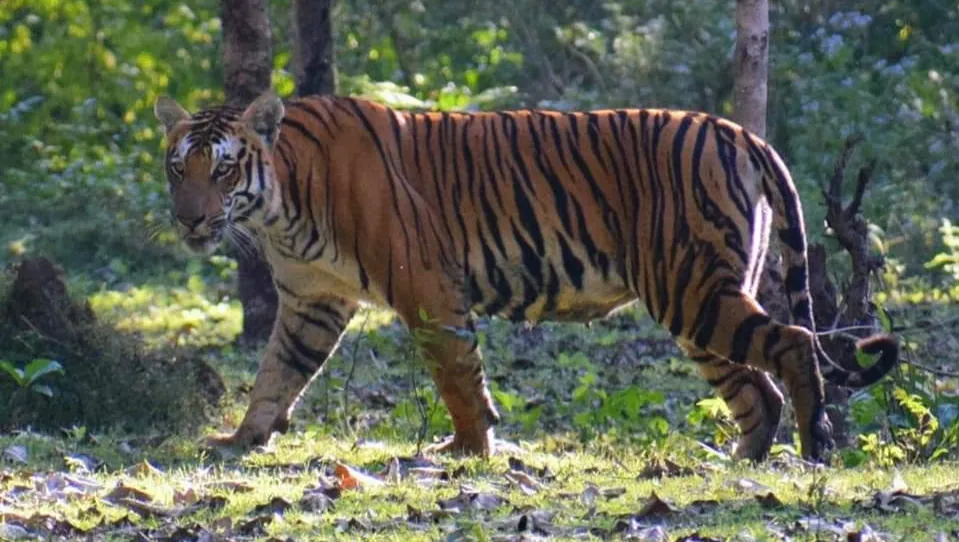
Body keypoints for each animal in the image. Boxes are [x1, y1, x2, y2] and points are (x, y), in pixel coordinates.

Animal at [153, 90, 898, 461]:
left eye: (223, 169)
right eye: (177, 167)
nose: (190, 221)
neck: (279, 204)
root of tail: (739, 131)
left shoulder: (425, 289)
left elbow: (457, 374)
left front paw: (466, 447)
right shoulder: (312, 298)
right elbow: (277, 372)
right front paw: (240, 440)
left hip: (691, 288)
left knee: (793, 345)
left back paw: (813, 449)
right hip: (697, 298)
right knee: (756, 386)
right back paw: (740, 462)